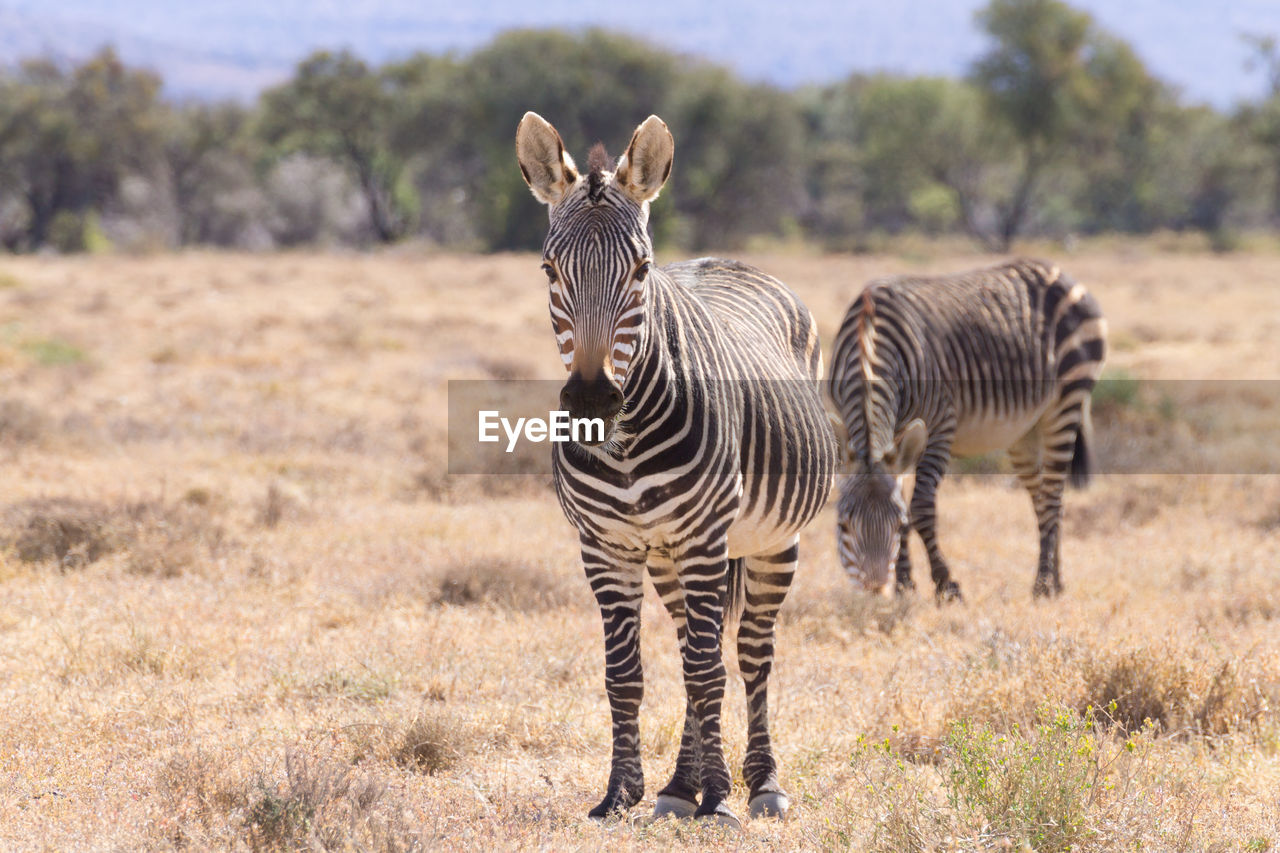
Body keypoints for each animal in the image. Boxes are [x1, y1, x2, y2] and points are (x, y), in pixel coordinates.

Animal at [514, 111, 834, 824]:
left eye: (640, 269)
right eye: (549, 269)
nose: (591, 400)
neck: (628, 441)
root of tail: (729, 262)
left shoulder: (704, 537)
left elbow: (709, 671)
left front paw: (720, 798)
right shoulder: (605, 546)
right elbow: (625, 674)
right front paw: (621, 793)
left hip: (770, 541)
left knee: (749, 655)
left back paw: (759, 783)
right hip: (666, 557)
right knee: (696, 643)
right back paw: (678, 787)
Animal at [824, 258, 1105, 596]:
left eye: (899, 525)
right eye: (843, 525)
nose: (876, 588)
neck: (868, 336)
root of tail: (1058, 270)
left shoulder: (940, 426)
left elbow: (921, 507)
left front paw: (946, 584)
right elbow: (902, 494)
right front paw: (906, 585)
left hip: (1065, 402)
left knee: (1052, 495)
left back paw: (1042, 585)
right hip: (1024, 430)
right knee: (1045, 497)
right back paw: (1057, 580)